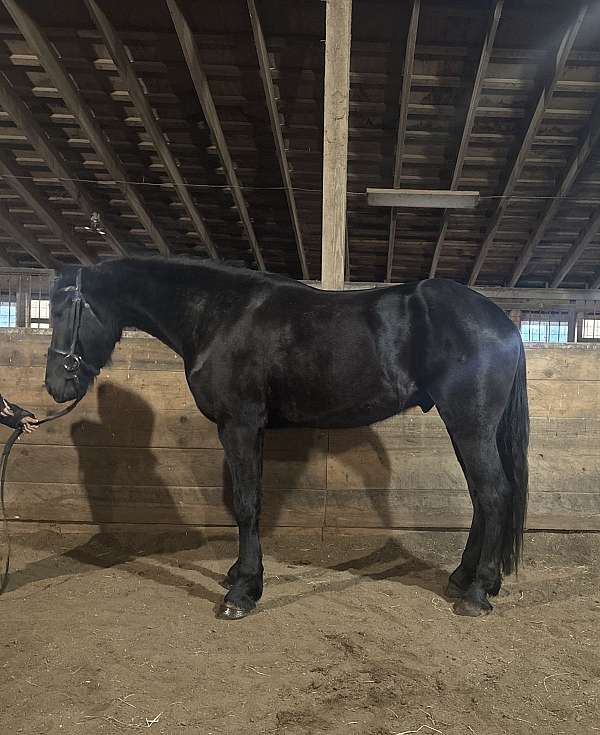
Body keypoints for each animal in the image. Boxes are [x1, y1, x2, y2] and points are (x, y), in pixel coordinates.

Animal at [44, 258, 528, 620]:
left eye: (62, 311)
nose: (56, 386)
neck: (220, 315)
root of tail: (502, 323)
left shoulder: (239, 424)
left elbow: (246, 504)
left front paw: (242, 592)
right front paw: (238, 575)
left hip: (469, 424)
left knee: (494, 493)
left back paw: (476, 594)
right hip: (465, 427)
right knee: (482, 496)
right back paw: (465, 579)